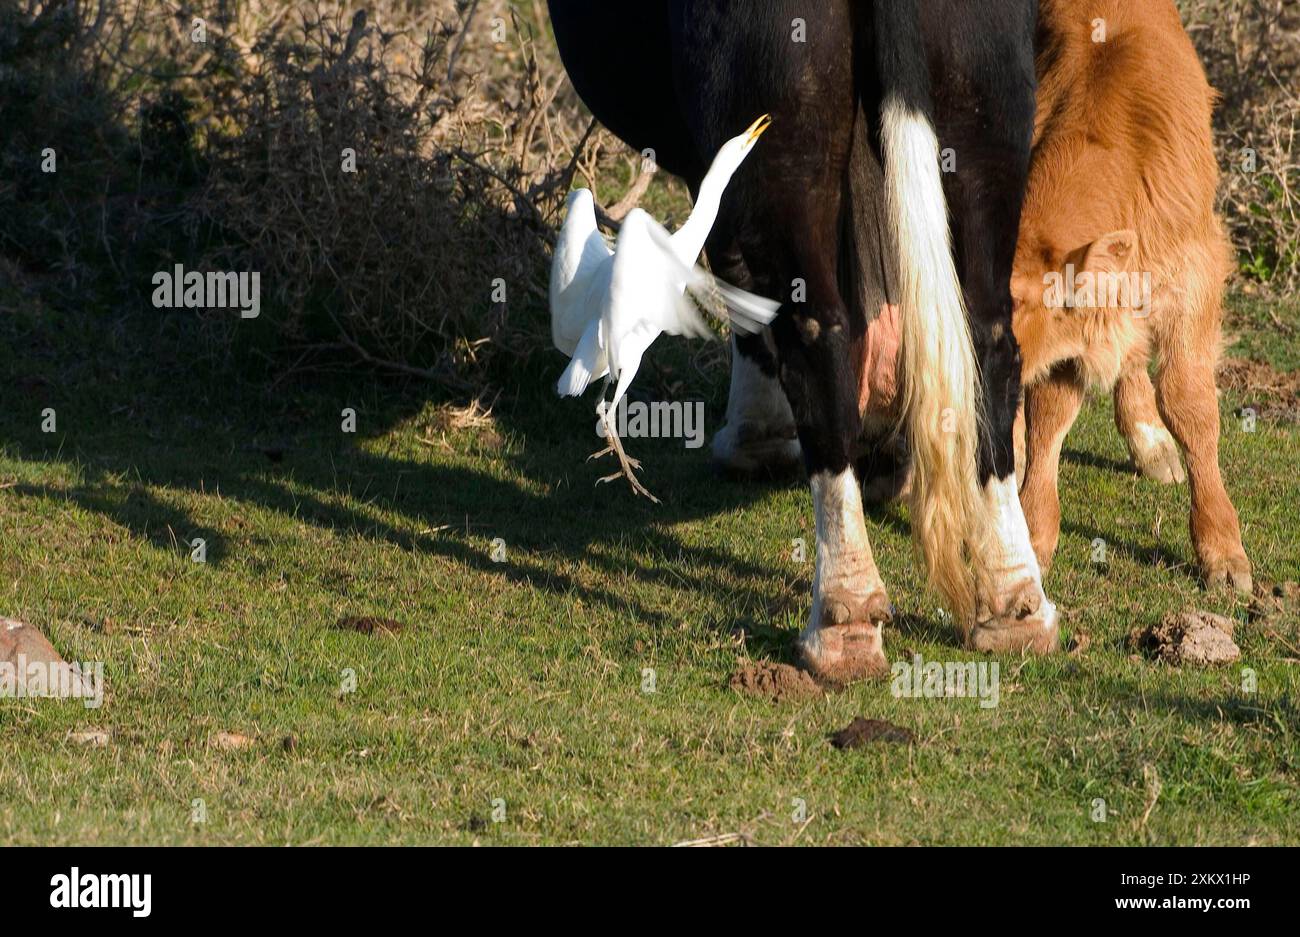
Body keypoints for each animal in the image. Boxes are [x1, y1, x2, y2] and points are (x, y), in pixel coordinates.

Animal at [548, 0, 1055, 675]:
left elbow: (736, 280)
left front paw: (754, 438)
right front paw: (892, 460)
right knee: (988, 336)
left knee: (819, 339)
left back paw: (845, 615)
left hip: (782, 136)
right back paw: (1014, 599)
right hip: (984, 106)